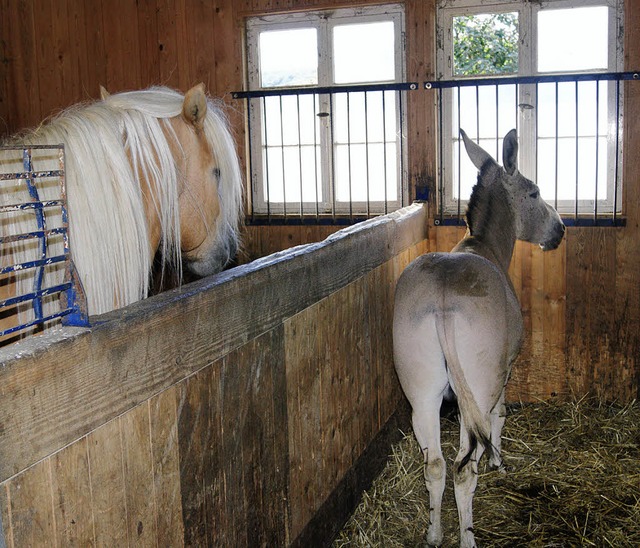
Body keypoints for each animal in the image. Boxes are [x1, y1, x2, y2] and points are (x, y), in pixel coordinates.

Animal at [396, 130, 564, 548]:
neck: (482, 245)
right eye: (535, 192)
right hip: (477, 388)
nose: (560, 229)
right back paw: (467, 536)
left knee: (435, 466)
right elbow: (500, 417)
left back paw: (434, 533)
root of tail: (442, 298)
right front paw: (498, 462)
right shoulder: (503, 374)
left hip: (421, 395)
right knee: (462, 469)